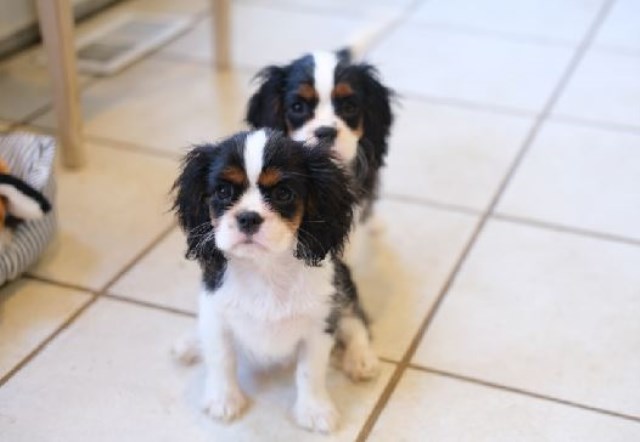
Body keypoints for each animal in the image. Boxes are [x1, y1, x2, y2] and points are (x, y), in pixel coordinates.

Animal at [172, 128, 378, 432]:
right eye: (223, 191)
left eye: (283, 193)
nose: (248, 218)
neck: (265, 268)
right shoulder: (216, 312)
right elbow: (221, 358)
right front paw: (224, 398)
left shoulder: (320, 322)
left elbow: (310, 371)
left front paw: (314, 410)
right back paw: (190, 343)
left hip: (344, 287)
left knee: (355, 322)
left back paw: (360, 358)